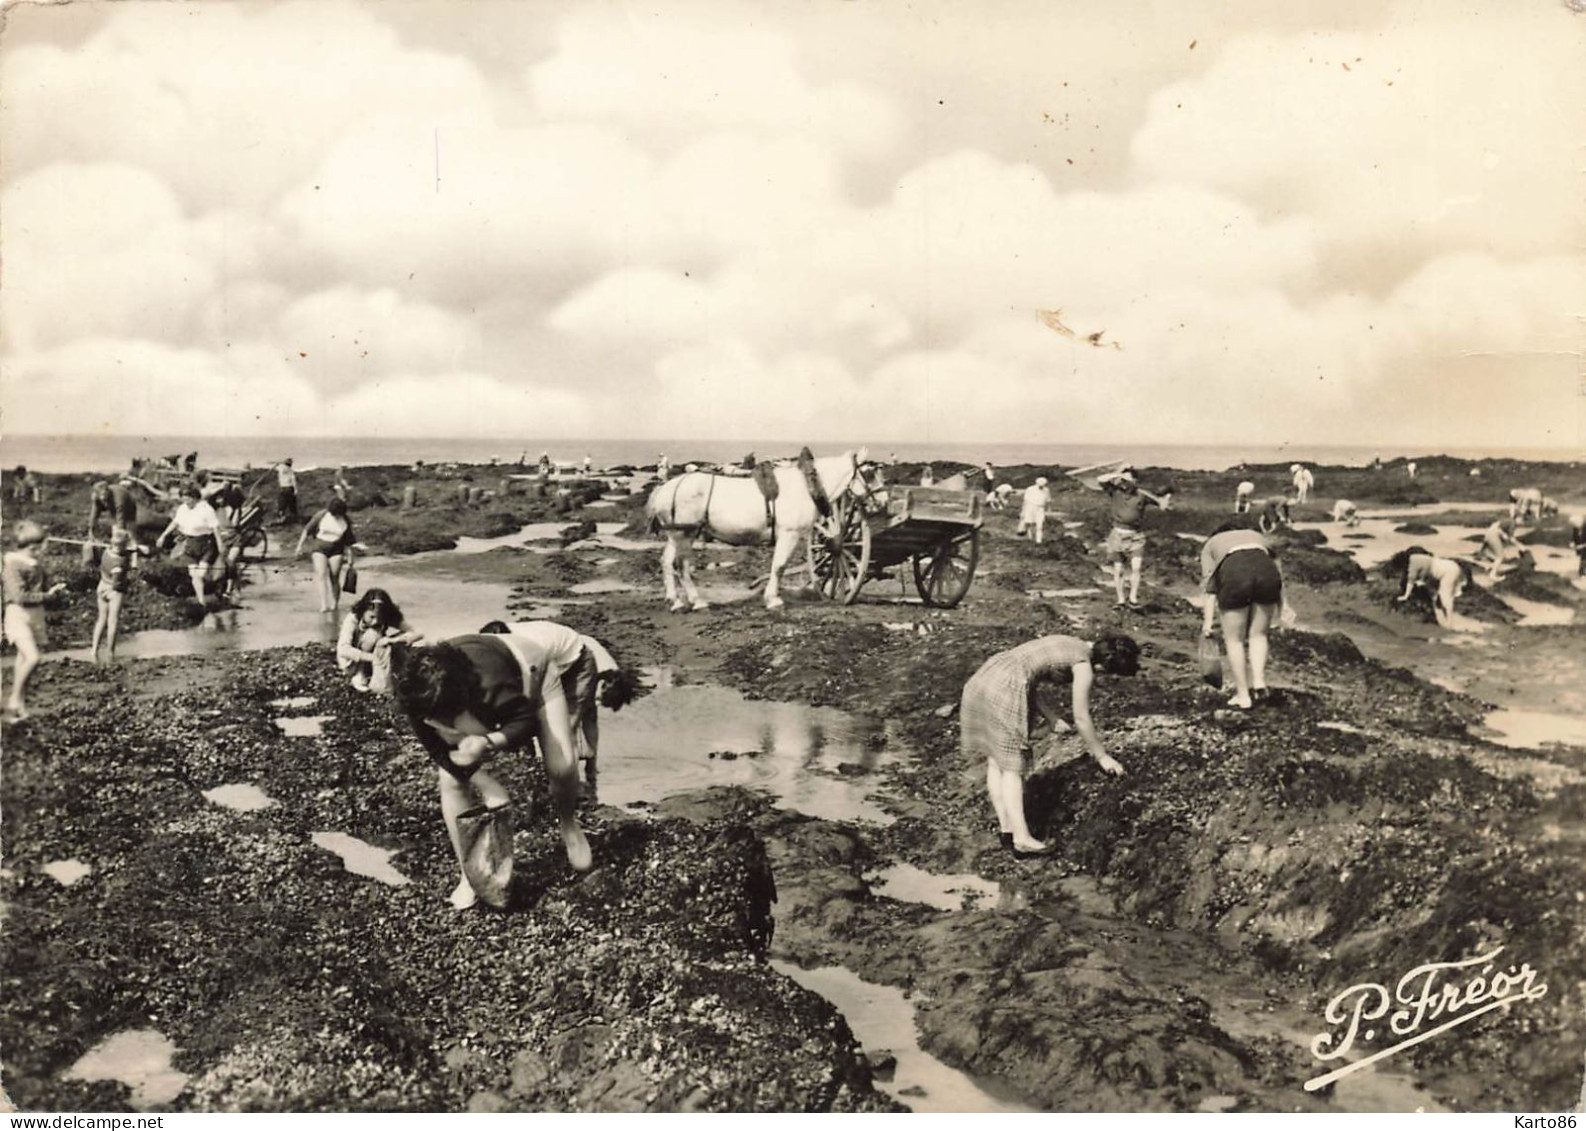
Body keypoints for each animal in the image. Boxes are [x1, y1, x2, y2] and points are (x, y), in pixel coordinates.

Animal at [643, 447, 869, 609]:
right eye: (868, 472)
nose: (870, 499)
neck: (806, 485)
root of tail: (666, 488)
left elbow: (778, 566)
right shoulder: (789, 534)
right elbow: (779, 566)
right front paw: (773, 600)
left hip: (675, 534)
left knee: (666, 562)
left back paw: (675, 601)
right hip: (684, 534)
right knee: (681, 566)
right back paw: (697, 601)